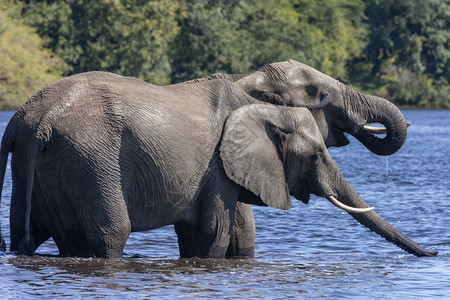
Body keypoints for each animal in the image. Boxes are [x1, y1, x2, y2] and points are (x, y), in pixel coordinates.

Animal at [0, 68, 436, 258]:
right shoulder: (217, 167)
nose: (434, 254)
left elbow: (235, 238)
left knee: (30, 237)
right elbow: (212, 235)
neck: (249, 90)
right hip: (91, 161)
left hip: (40, 167)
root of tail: (32, 122)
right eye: (321, 95)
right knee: (110, 235)